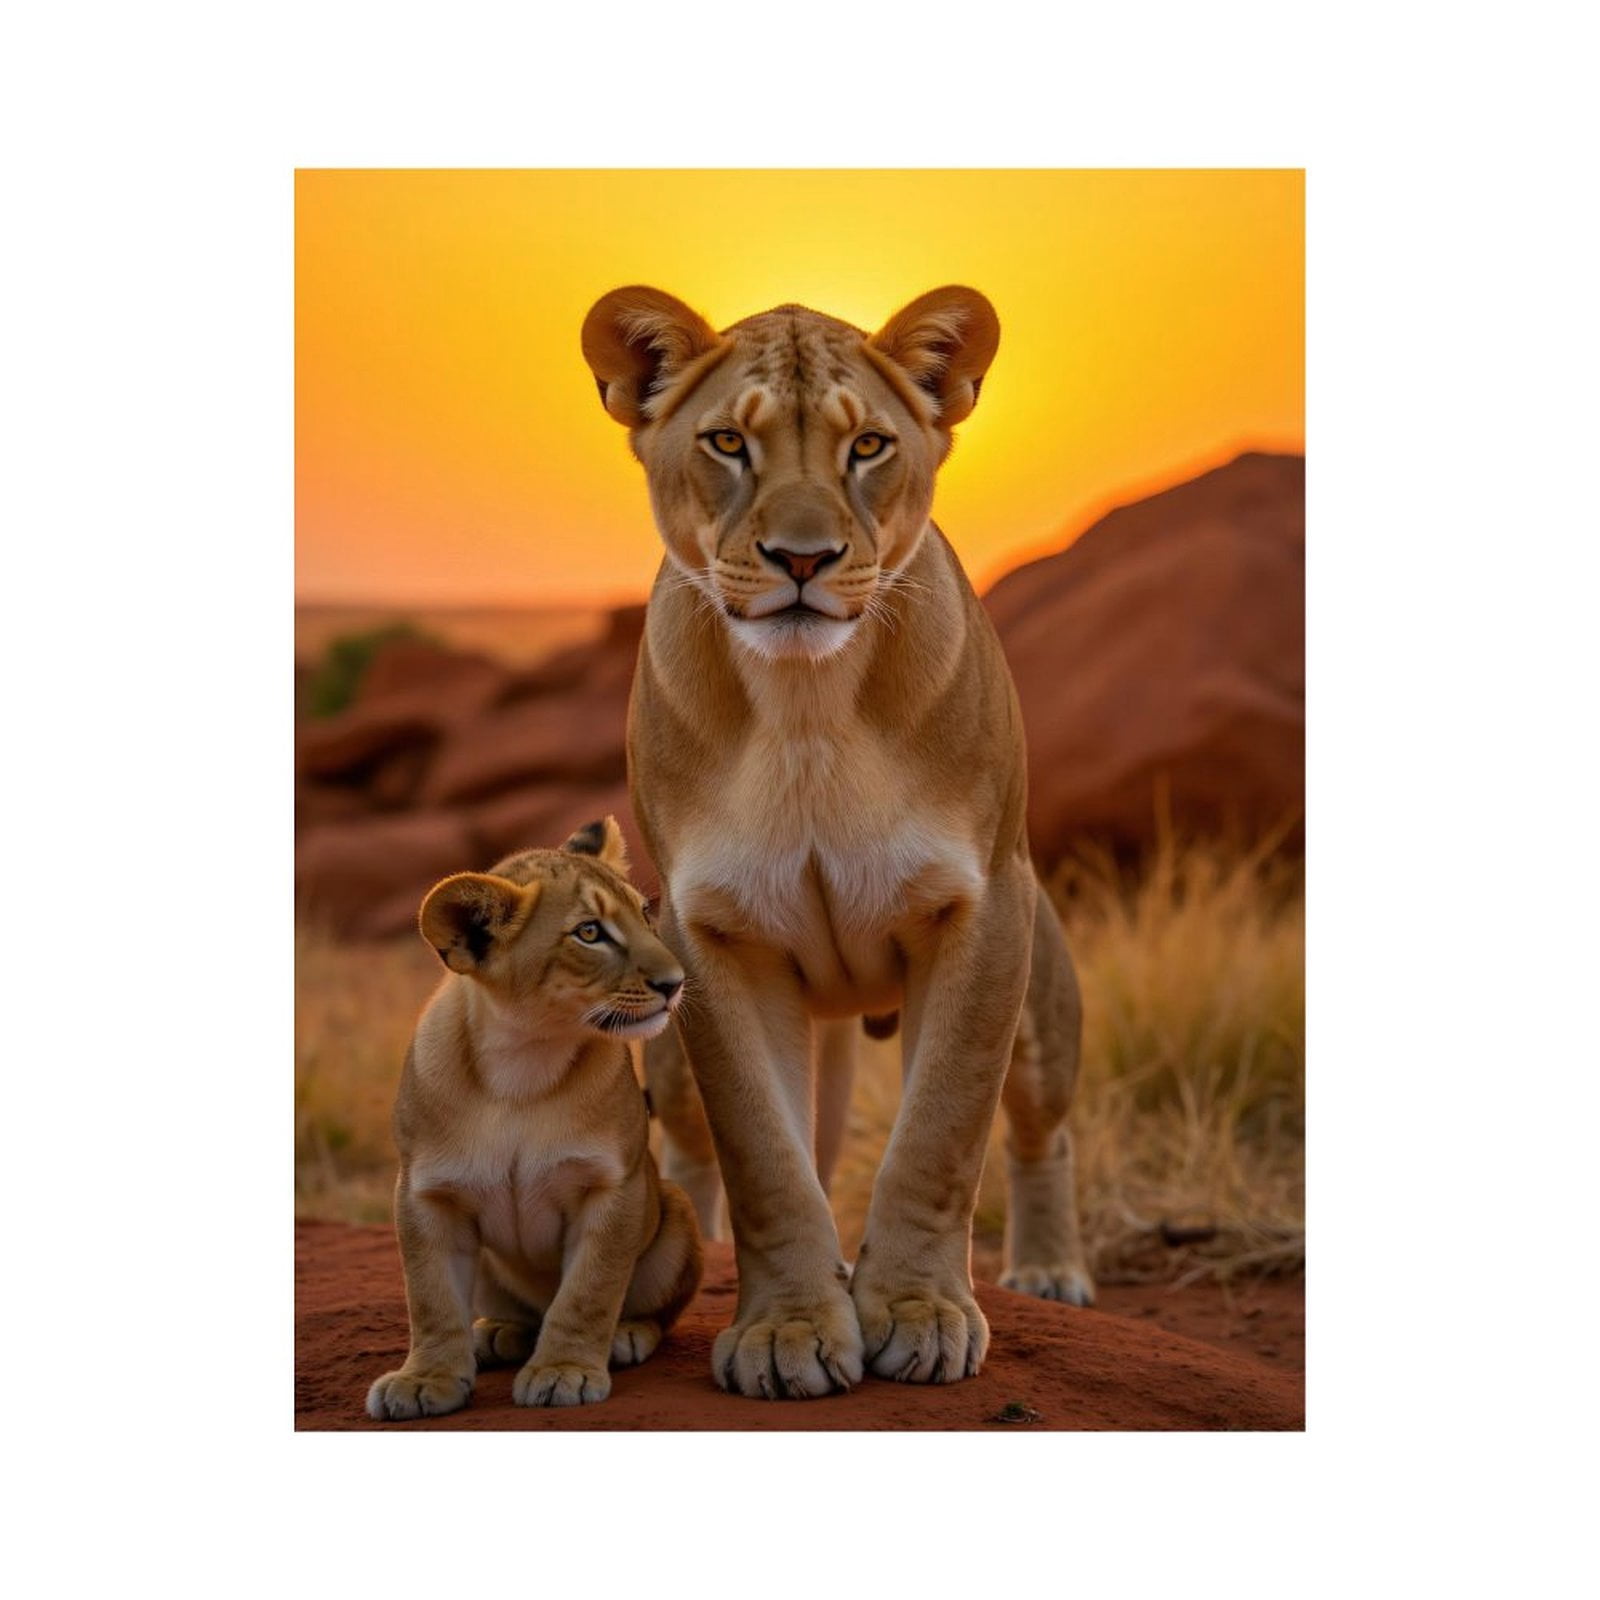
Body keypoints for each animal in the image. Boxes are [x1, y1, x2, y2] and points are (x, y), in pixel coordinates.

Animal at [366, 817, 703, 1419]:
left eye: (646, 914)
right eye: (590, 933)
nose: (676, 982)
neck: (523, 1063)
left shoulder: (614, 1186)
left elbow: (588, 1292)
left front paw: (564, 1370)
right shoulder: (425, 1193)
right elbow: (429, 1297)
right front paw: (425, 1379)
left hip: (673, 1208)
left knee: (650, 1311)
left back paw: (625, 1336)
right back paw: (496, 1332)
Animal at [580, 284, 1094, 1400]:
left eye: (868, 446)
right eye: (728, 442)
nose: (804, 560)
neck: (808, 704)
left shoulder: (983, 907)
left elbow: (940, 1134)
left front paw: (922, 1315)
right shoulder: (710, 934)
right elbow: (764, 1157)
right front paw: (787, 1329)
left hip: (1043, 998)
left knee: (1041, 1134)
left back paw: (1048, 1270)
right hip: (679, 1030)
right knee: (705, 1151)